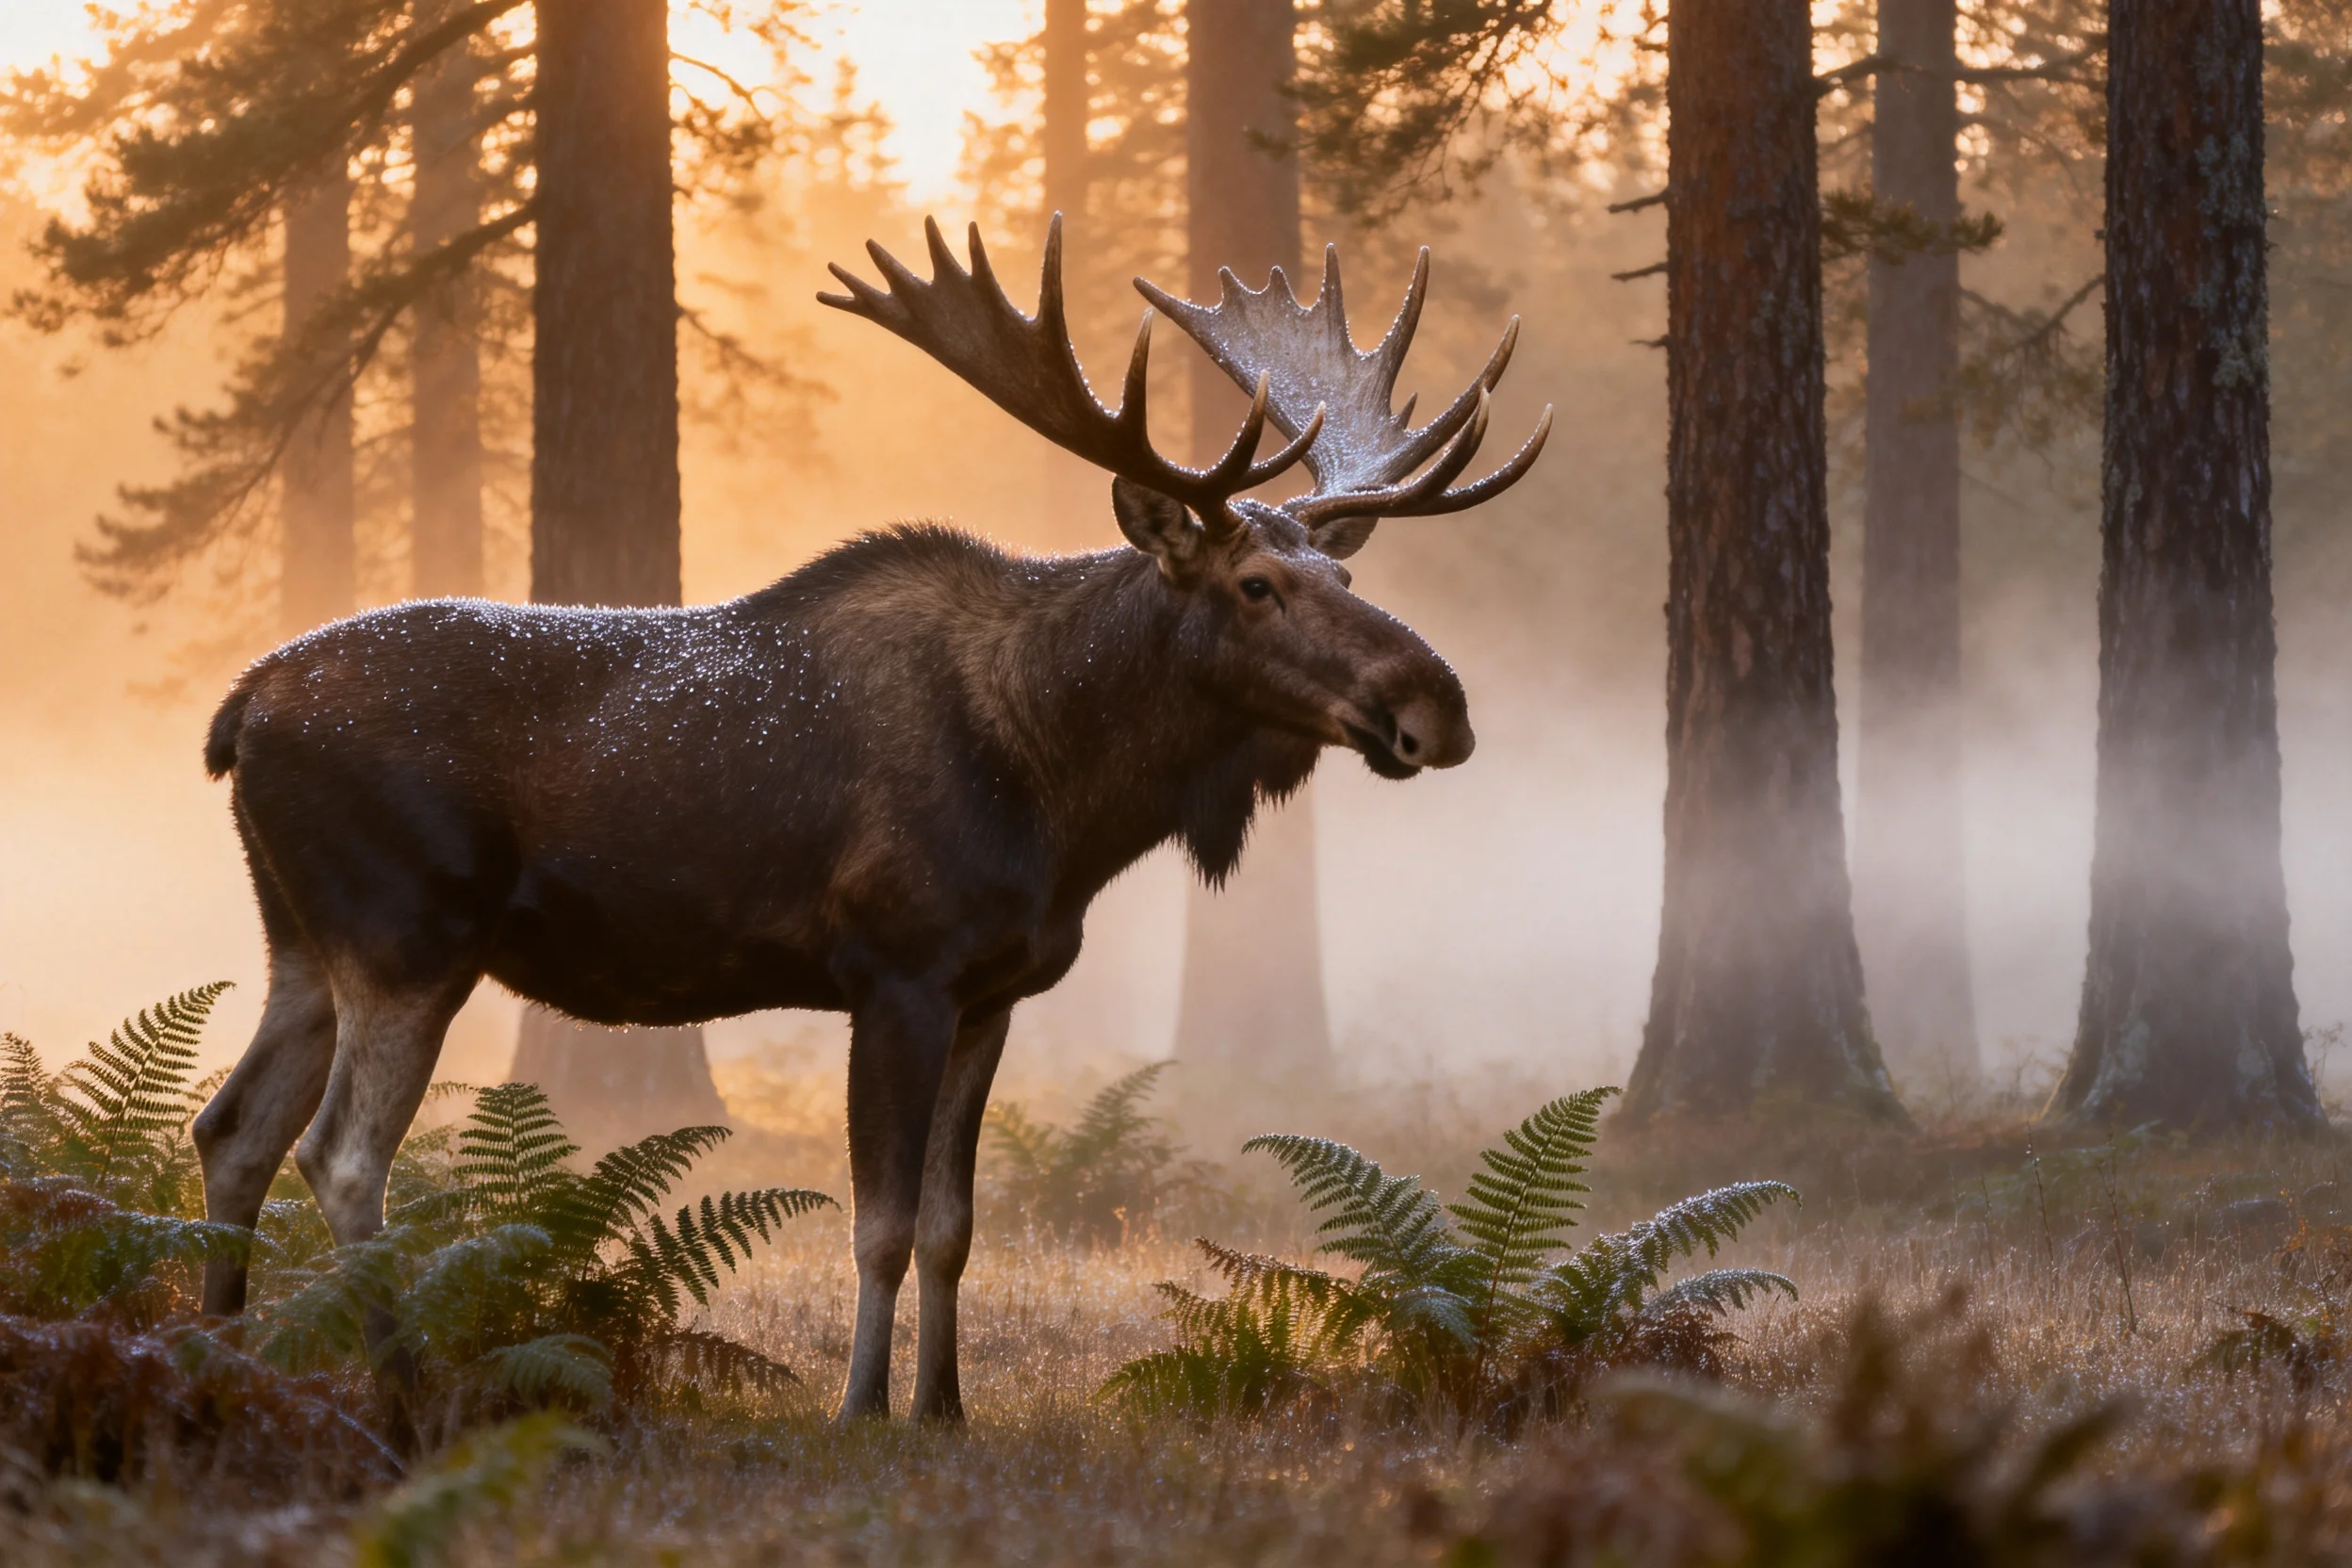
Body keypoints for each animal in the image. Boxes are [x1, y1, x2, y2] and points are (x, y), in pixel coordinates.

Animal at [189, 216, 1549, 1422]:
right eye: (1257, 585)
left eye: (1346, 571)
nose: (1437, 706)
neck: (1063, 795)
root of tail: (240, 707)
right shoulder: (894, 967)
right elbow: (883, 1223)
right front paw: (858, 1408)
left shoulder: (994, 989)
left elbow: (953, 1223)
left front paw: (944, 1408)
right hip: (407, 933)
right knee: (341, 1152)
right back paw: (400, 1391)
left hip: (302, 942)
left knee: (232, 1128)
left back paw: (222, 1368)